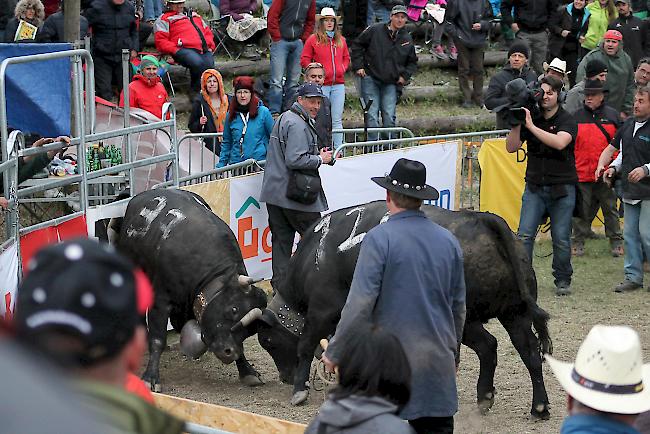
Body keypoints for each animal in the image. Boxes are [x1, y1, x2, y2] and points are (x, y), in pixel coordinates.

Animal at [115, 188, 268, 392]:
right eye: (233, 309)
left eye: (252, 330)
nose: (229, 352)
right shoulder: (160, 300)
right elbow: (157, 339)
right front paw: (151, 377)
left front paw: (247, 370)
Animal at [256, 203, 548, 420]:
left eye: (268, 342)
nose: (285, 377)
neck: (315, 256)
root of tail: (481, 219)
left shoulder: (322, 311)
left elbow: (305, 346)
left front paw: (299, 390)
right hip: (512, 314)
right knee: (521, 351)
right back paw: (528, 405)